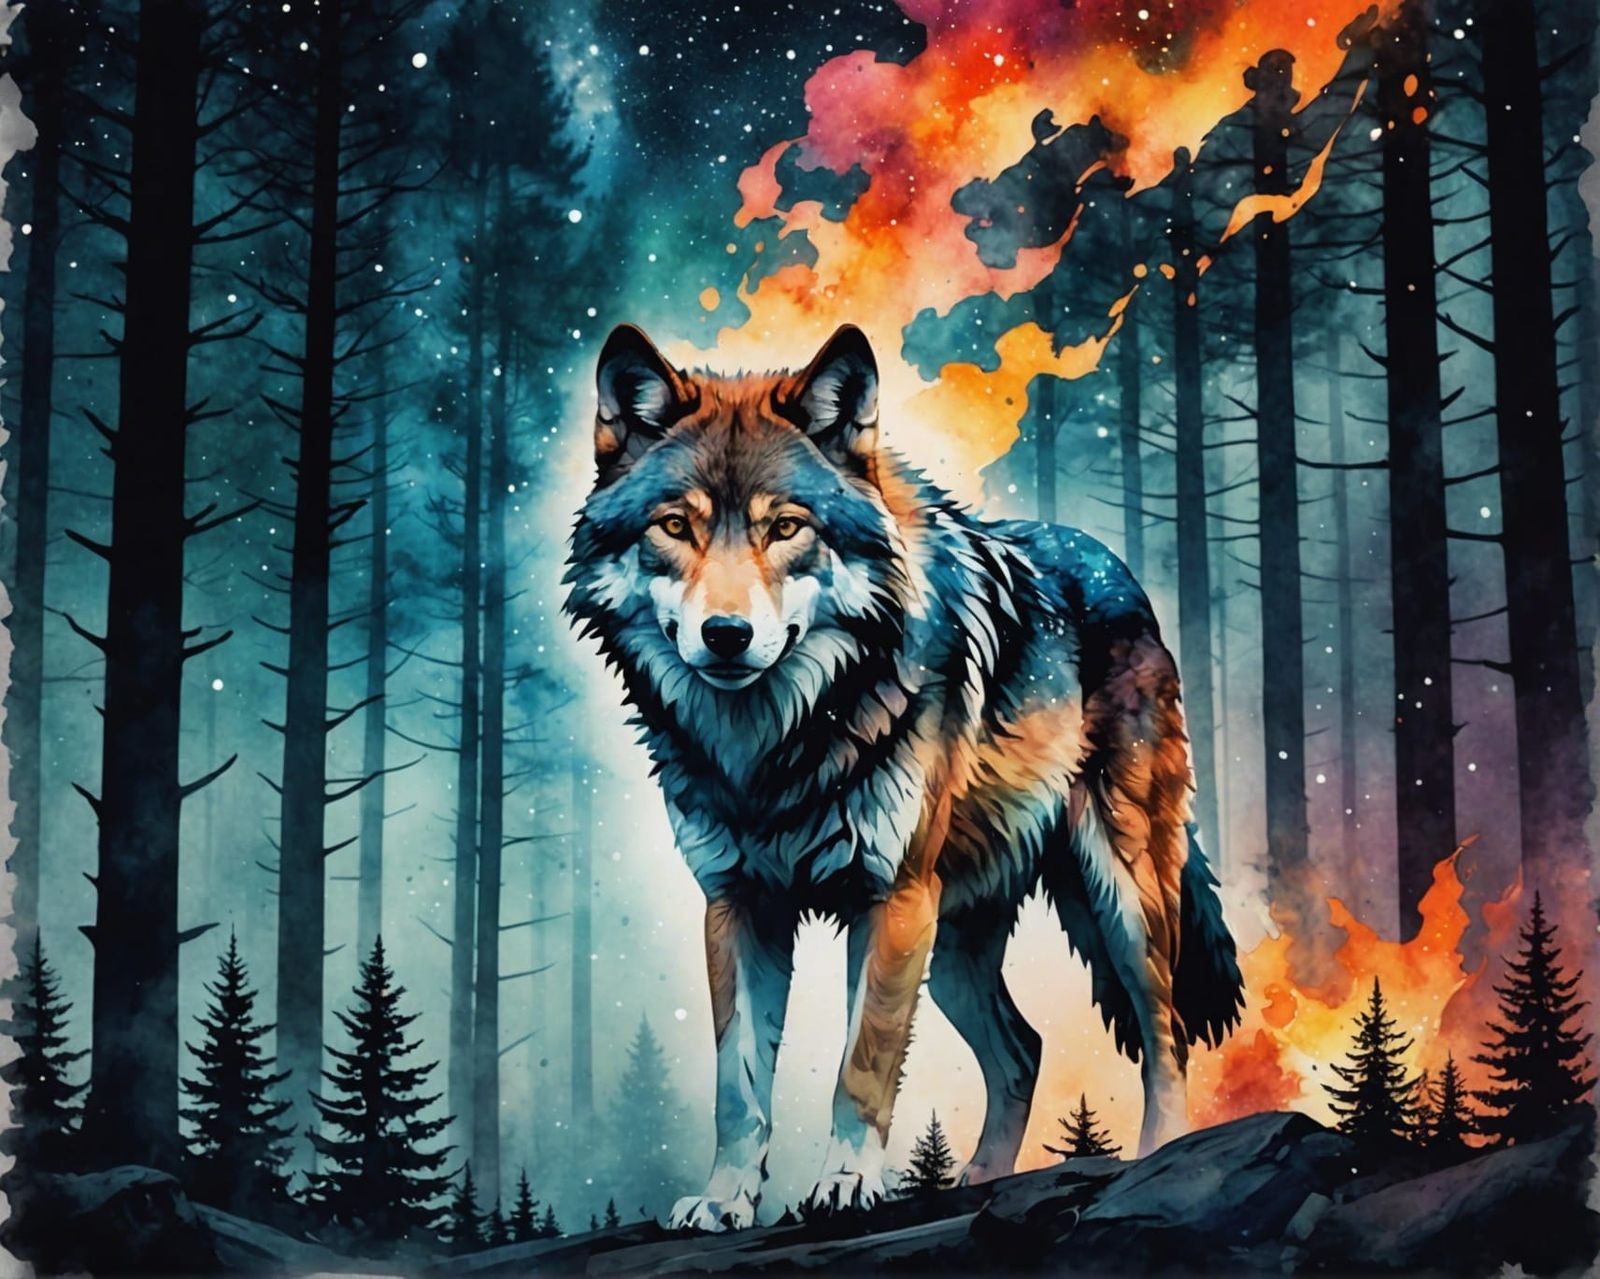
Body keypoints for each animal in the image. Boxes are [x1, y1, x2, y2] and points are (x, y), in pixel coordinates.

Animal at [564, 323, 1244, 1232]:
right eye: (675, 525)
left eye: (788, 527)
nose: (726, 634)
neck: (776, 745)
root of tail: (1116, 566)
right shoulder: (738, 905)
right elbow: (737, 1087)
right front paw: (725, 1197)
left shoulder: (888, 897)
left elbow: (862, 1063)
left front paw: (847, 1183)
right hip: (954, 939)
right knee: (1023, 1048)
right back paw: (977, 1184)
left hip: (1118, 896)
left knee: (1162, 1030)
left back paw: (1159, 1154)